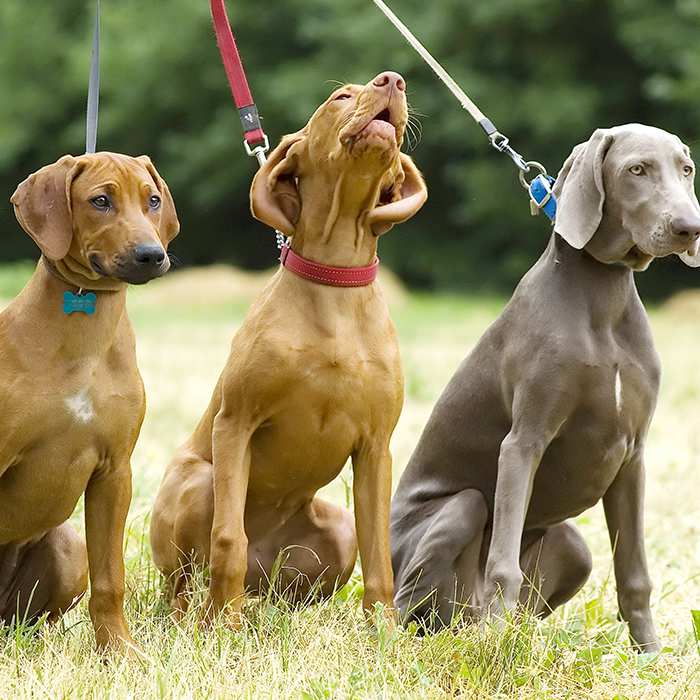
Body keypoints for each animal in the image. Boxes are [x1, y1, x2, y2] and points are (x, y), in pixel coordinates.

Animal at [1, 153, 180, 652]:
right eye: (101, 201)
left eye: (152, 200)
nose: (151, 255)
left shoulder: (115, 471)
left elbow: (110, 579)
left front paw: (118, 651)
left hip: (68, 548)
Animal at [392, 121, 700, 652]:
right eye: (637, 170)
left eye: (686, 169)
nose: (690, 228)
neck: (603, 297)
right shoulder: (524, 441)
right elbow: (504, 565)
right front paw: (498, 654)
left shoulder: (633, 456)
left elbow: (634, 574)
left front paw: (651, 655)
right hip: (456, 515)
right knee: (408, 607)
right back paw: (467, 636)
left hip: (572, 546)